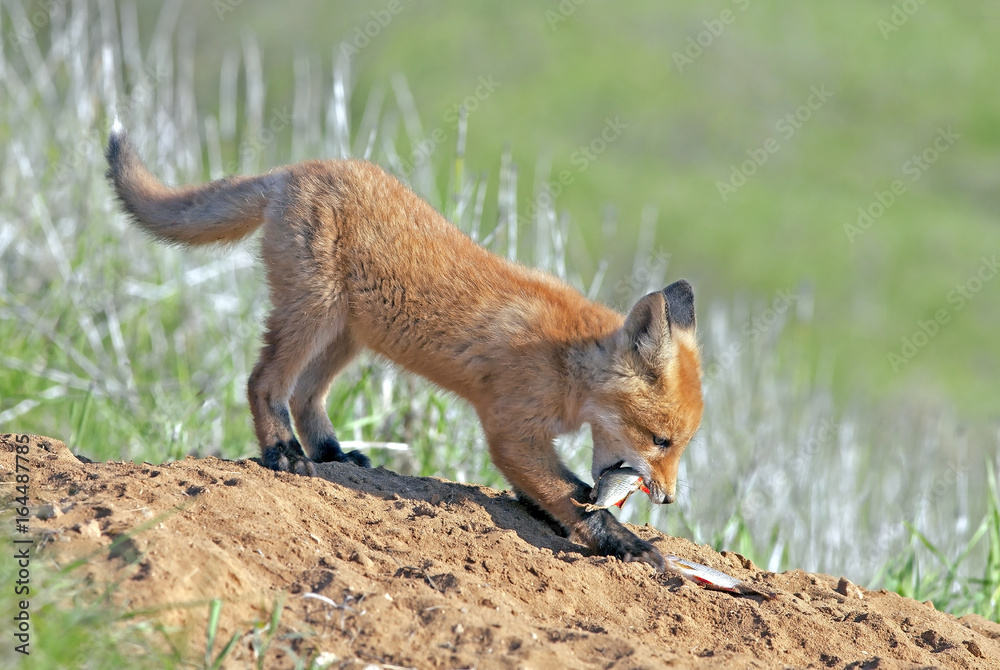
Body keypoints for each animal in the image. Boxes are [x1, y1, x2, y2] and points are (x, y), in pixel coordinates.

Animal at [105, 120, 704, 570]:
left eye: (677, 444)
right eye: (661, 441)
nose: (670, 498)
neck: (566, 365)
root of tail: (299, 169)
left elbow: (556, 490)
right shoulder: (510, 429)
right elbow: (569, 496)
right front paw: (623, 540)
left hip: (348, 336)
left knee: (304, 396)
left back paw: (332, 453)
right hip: (314, 313)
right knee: (264, 383)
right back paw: (283, 452)